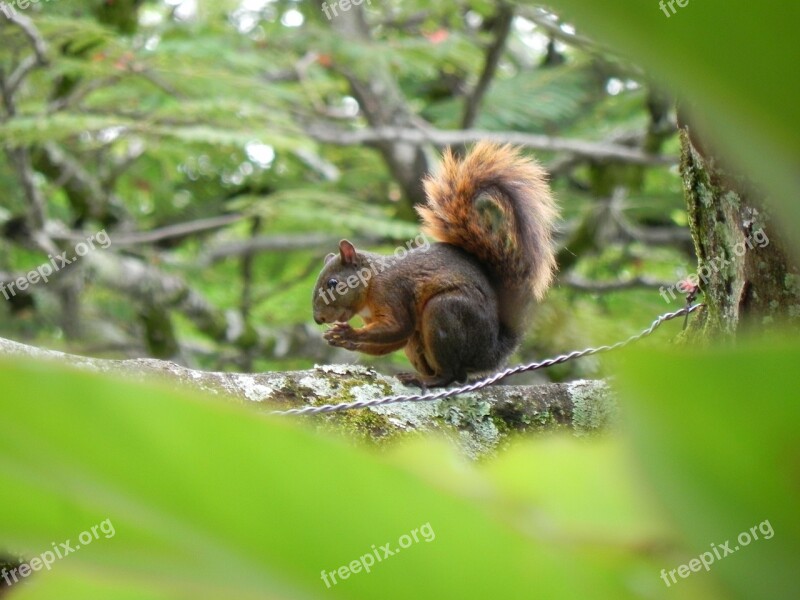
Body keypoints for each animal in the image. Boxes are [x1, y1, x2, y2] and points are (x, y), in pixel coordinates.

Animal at [310, 144, 556, 390]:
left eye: (333, 283)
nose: (318, 319)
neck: (371, 282)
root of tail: (490, 353)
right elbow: (395, 339)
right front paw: (342, 339)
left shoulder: (391, 291)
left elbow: (398, 326)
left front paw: (349, 334)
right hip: (419, 342)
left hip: (445, 312)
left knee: (452, 374)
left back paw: (426, 379)